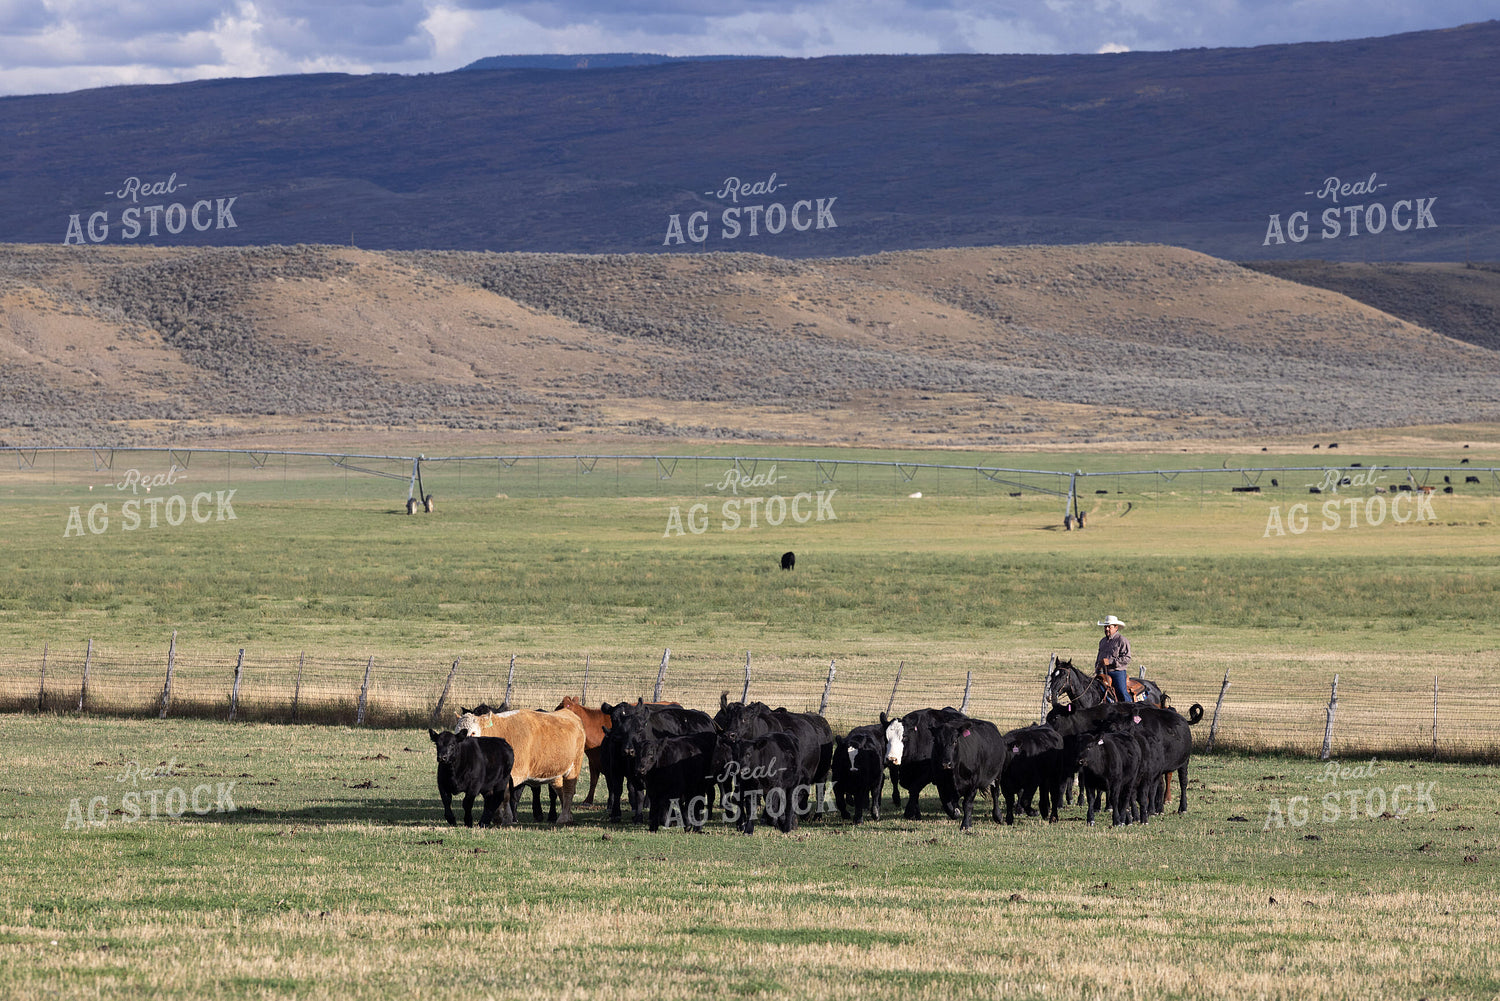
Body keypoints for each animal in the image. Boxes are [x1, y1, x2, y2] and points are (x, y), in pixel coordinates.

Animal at [454, 708, 587, 825]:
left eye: (473, 732)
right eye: (456, 734)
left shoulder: (511, 774)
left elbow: (505, 796)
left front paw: (507, 818)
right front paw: (497, 817)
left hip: (574, 767)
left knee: (569, 791)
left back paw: (563, 818)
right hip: (556, 772)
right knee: (561, 791)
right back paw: (569, 816)